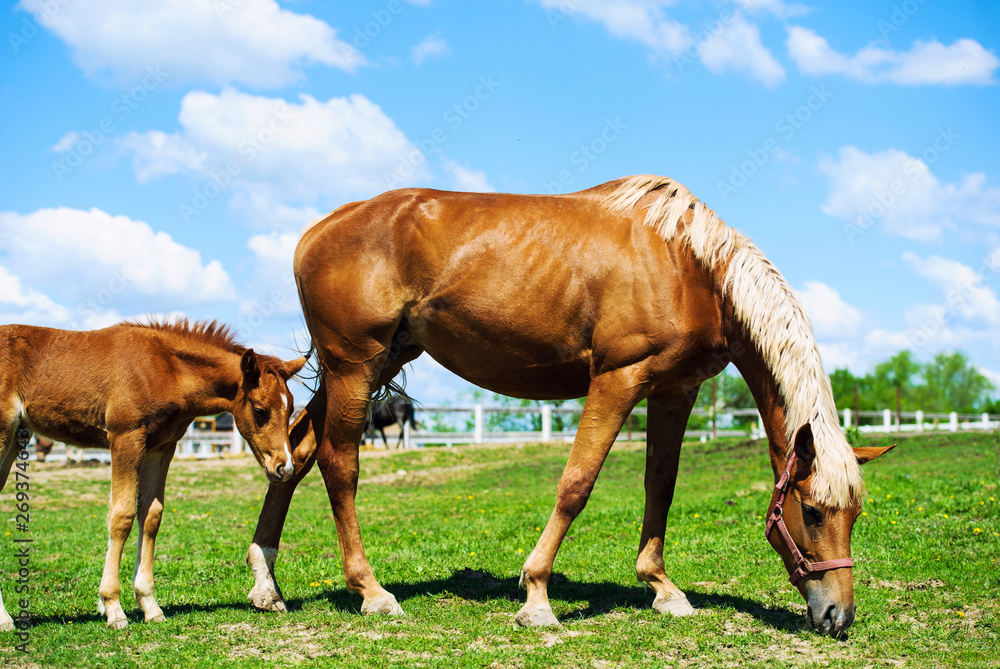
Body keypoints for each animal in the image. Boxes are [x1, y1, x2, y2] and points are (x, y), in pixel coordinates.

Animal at [0, 319, 306, 629]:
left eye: (292, 407)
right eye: (260, 409)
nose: (284, 466)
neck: (165, 369)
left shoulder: (161, 447)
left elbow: (151, 515)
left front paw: (149, 605)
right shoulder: (125, 438)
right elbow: (122, 516)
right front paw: (113, 608)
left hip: (15, 440)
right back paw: (5, 619)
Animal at [243, 175, 894, 637]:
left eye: (855, 514)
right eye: (812, 511)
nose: (838, 617)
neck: (690, 268)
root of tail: (317, 231)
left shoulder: (674, 391)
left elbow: (661, 485)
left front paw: (662, 588)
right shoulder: (616, 381)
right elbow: (576, 483)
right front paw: (536, 596)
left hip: (366, 367)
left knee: (295, 454)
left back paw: (267, 583)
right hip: (355, 369)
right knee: (339, 465)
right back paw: (371, 591)